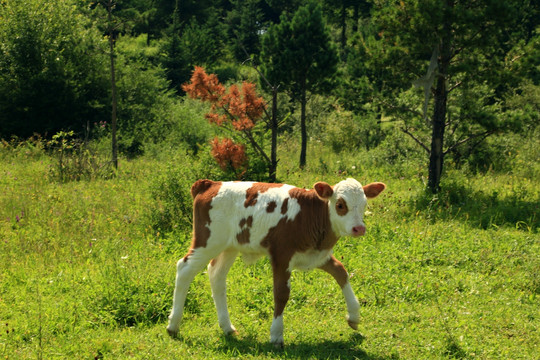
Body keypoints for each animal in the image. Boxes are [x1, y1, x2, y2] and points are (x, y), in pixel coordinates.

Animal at [167, 177, 386, 346]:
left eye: (364, 205)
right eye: (340, 205)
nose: (359, 228)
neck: (309, 214)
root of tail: (211, 184)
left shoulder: (316, 254)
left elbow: (341, 271)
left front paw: (354, 315)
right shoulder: (281, 256)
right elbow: (281, 294)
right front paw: (276, 334)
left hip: (229, 246)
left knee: (216, 275)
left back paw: (227, 327)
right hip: (208, 241)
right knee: (184, 269)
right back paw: (173, 325)